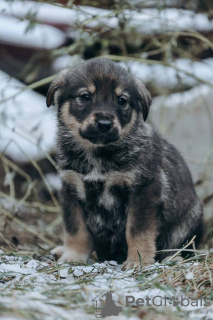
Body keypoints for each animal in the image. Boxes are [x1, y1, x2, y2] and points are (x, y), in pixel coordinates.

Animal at [46, 57, 203, 268]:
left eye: (122, 101)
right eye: (85, 97)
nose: (104, 124)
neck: (98, 154)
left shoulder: (143, 191)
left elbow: (138, 231)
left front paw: (138, 261)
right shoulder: (71, 189)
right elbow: (75, 230)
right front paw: (73, 256)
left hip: (190, 218)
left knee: (183, 246)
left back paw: (174, 257)